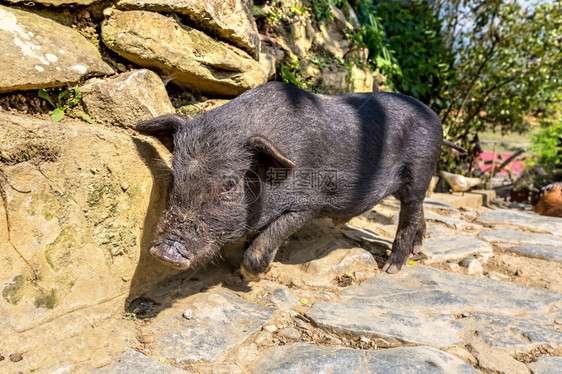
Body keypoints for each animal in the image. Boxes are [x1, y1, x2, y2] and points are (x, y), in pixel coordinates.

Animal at [138, 82, 452, 280]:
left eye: (229, 185)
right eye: (176, 174)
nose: (164, 252)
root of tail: (434, 115)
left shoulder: (309, 202)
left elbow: (271, 235)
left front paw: (250, 276)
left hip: (420, 171)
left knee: (410, 213)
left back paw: (392, 269)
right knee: (418, 212)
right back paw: (418, 250)